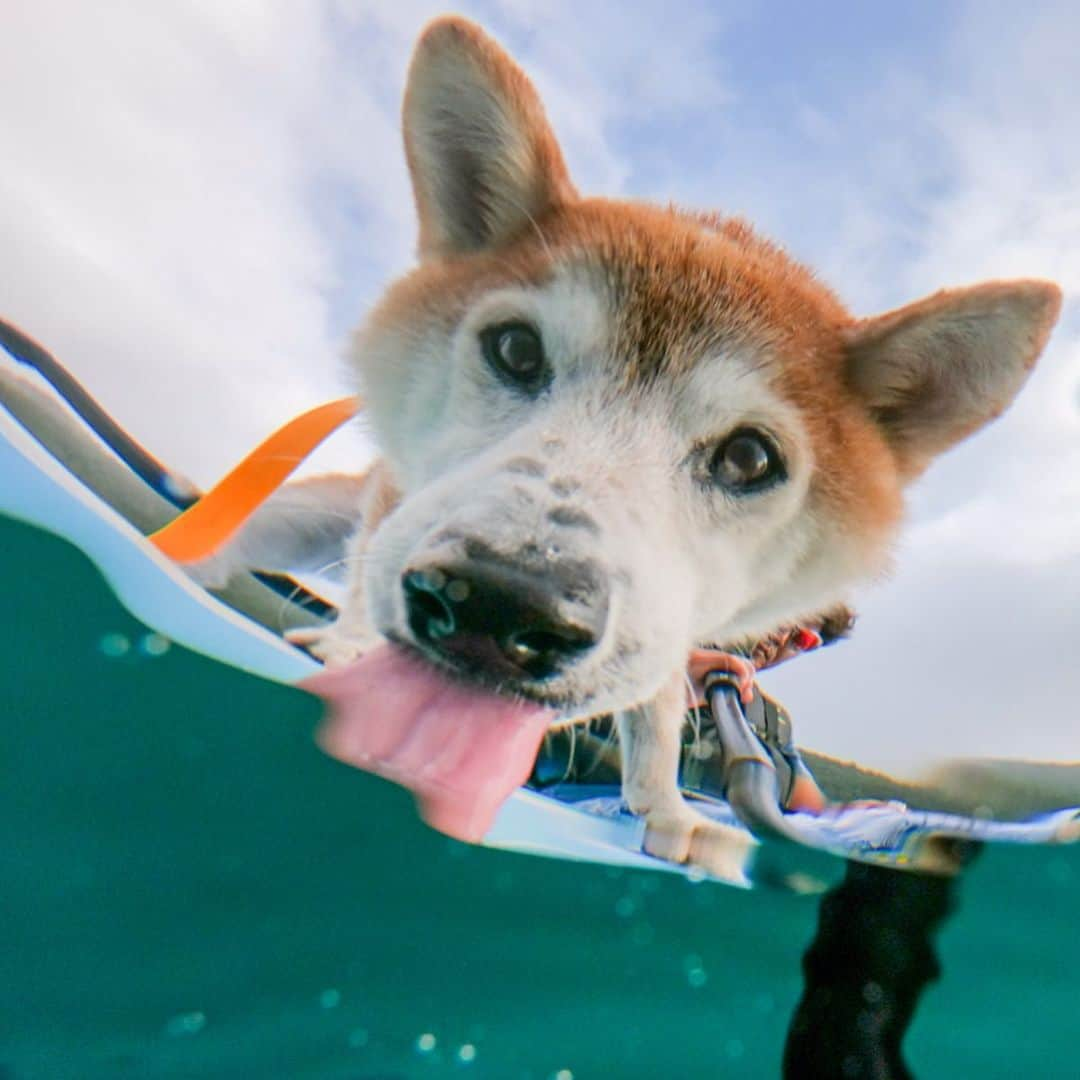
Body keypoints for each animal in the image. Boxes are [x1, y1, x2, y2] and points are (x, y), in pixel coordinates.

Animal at [194, 14, 1062, 876]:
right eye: (515, 349)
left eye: (750, 458)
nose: (501, 600)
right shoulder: (392, 501)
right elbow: (366, 569)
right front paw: (345, 641)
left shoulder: (668, 635)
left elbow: (657, 726)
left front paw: (669, 812)